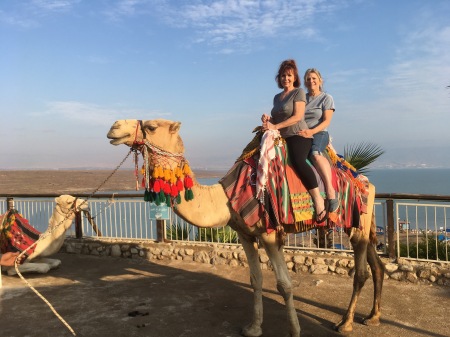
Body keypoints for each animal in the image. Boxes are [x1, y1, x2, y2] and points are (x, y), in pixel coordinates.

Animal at [107, 119, 384, 336]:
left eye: (151, 126)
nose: (114, 127)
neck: (226, 197)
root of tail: (365, 181)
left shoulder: (269, 233)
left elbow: (284, 284)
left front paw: (294, 331)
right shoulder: (245, 234)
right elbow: (255, 279)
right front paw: (253, 328)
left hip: (357, 223)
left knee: (361, 272)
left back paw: (346, 324)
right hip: (363, 223)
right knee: (376, 265)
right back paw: (372, 317)